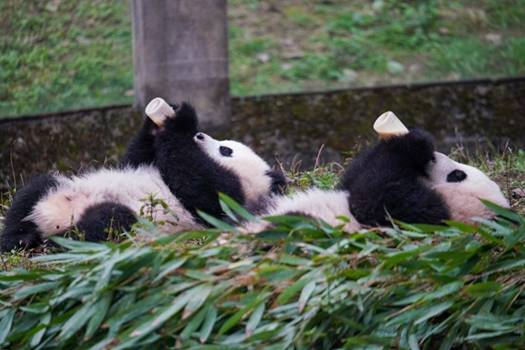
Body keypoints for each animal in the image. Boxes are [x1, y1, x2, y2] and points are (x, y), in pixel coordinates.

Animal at [1, 99, 286, 252]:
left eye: (225, 150)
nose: (199, 135)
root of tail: (52, 219)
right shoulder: (145, 163)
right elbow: (134, 158)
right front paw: (162, 117)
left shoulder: (226, 202)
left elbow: (198, 187)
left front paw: (180, 122)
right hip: (60, 188)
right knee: (33, 192)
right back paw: (19, 238)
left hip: (129, 223)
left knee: (110, 220)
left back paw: (59, 243)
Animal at [244, 118, 510, 232]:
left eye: (457, 175)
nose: (434, 157)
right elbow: (354, 178)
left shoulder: (421, 217)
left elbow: (373, 198)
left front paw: (412, 144)